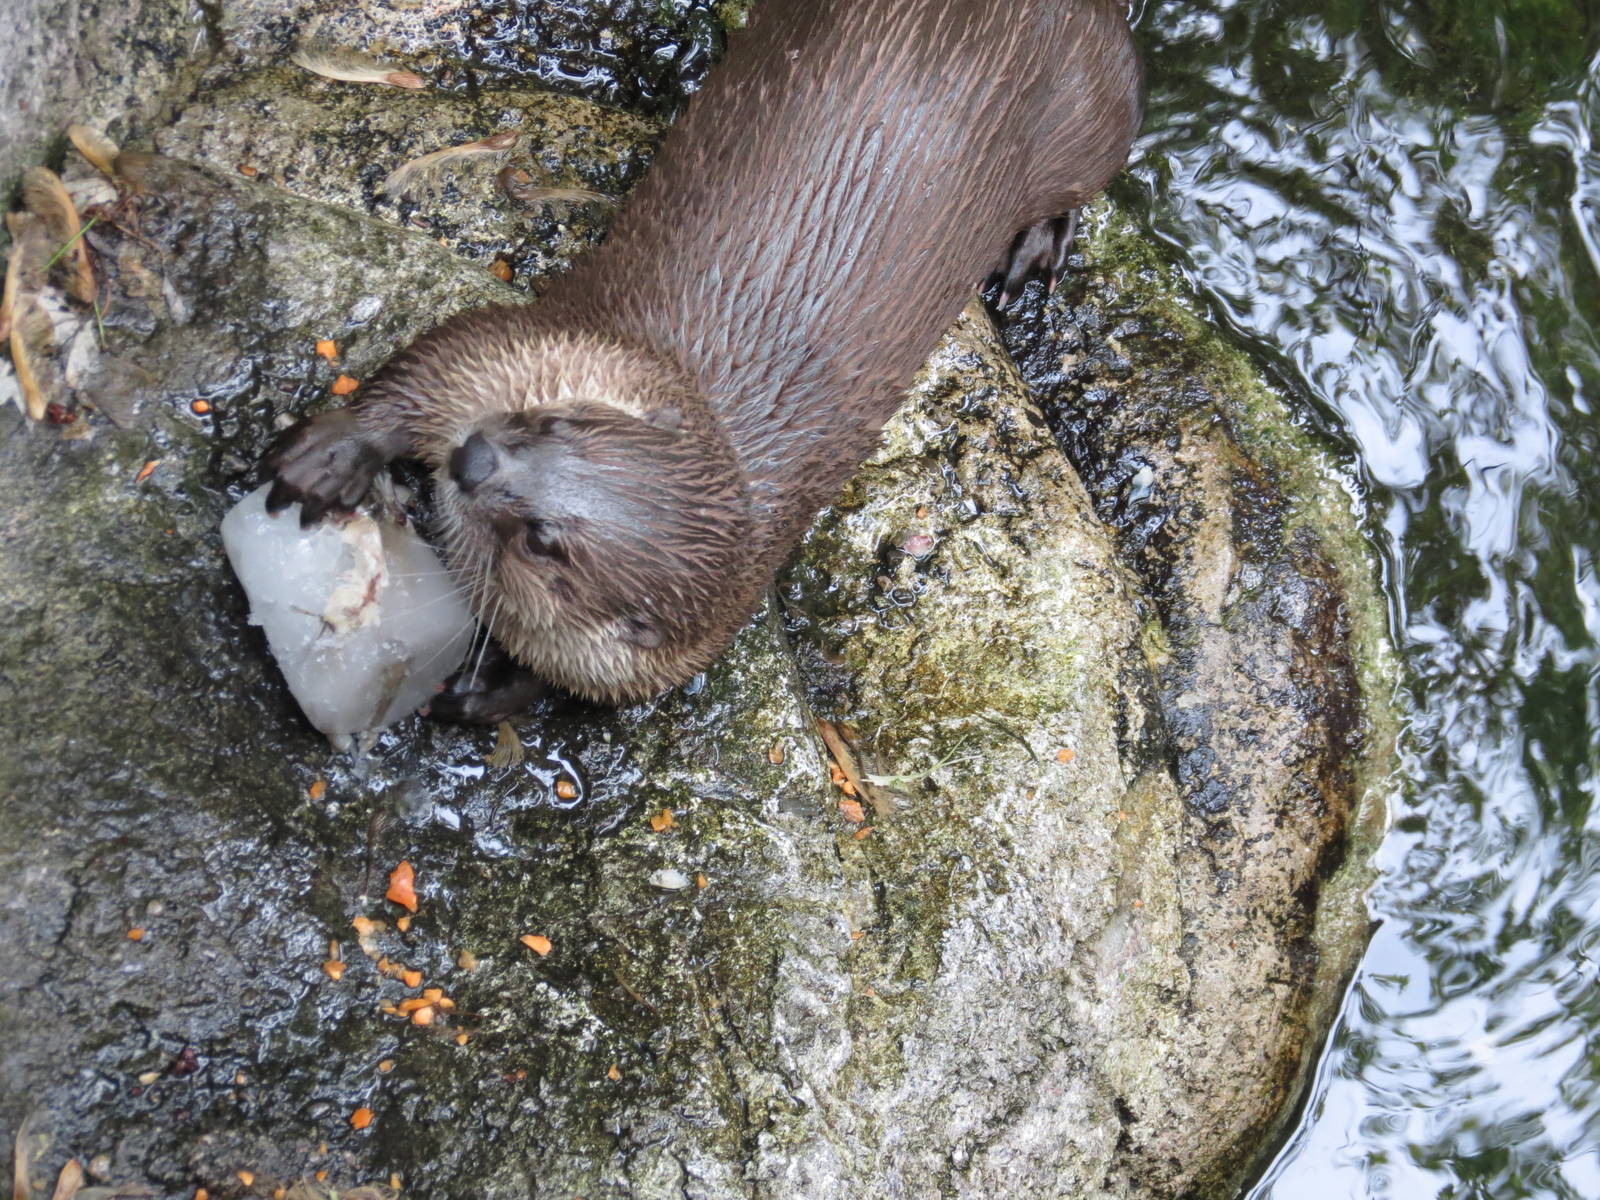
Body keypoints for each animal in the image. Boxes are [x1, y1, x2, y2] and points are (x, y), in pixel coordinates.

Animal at [265, 0, 1143, 722]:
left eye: (544, 542)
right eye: (554, 421)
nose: (473, 457)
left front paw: (489, 693)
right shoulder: (529, 343)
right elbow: (426, 368)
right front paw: (329, 456)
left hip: (1085, 114)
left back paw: (1038, 249)